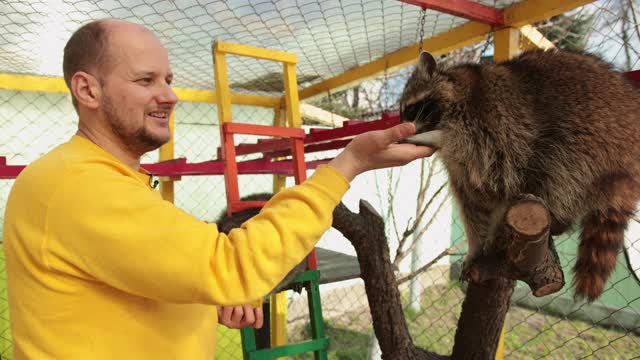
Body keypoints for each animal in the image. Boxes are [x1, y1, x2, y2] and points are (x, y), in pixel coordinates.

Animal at [400, 48, 640, 300]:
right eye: (402, 113)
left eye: (411, 109)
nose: (404, 127)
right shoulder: (461, 167)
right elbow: (473, 204)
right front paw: (475, 247)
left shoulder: (494, 125)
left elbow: (499, 180)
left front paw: (430, 136)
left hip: (596, 137)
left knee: (561, 168)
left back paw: (557, 217)